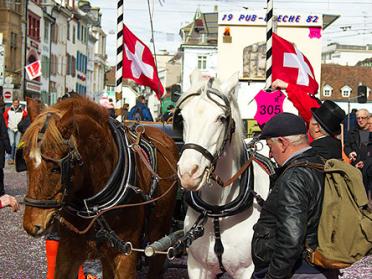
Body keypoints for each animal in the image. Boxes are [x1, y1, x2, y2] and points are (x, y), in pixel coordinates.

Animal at [21, 97, 179, 278]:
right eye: (26, 161)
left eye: (56, 168)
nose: (32, 225)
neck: (94, 206)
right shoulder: (68, 251)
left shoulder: (125, 254)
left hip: (158, 233)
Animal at [176, 71, 272, 278]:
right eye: (182, 117)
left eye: (221, 118)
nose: (188, 173)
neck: (217, 211)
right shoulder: (197, 266)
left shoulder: (248, 271)